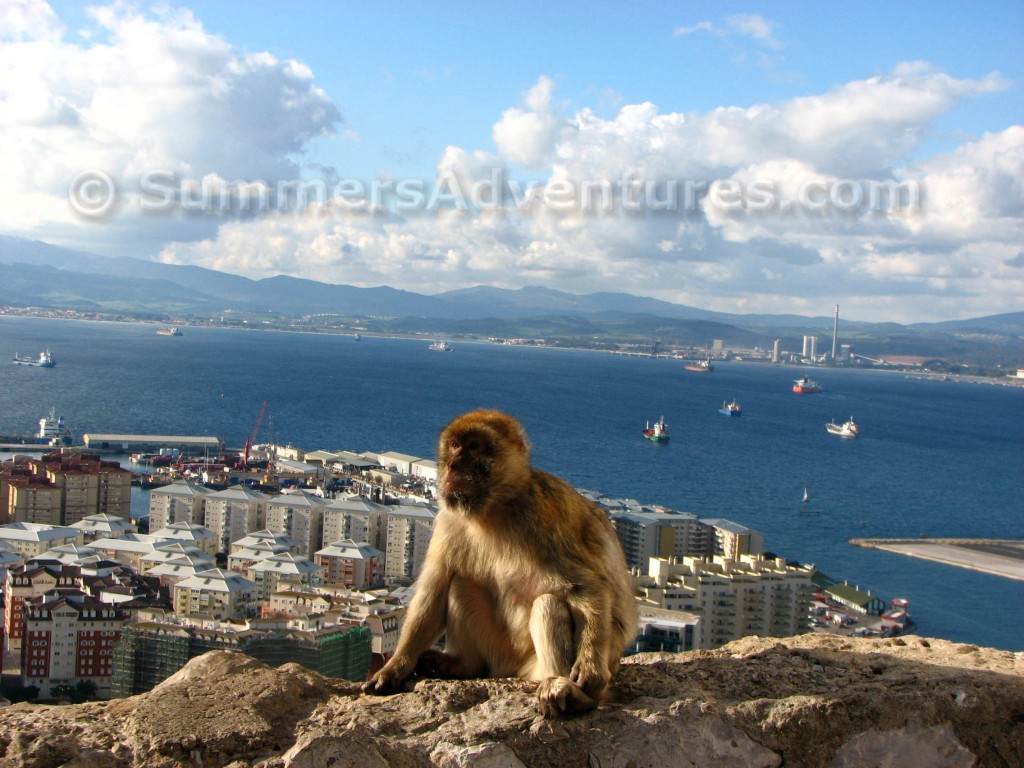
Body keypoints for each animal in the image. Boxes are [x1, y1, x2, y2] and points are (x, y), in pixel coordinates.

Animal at [358, 411, 630, 720]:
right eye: (454, 445)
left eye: (474, 446)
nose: (452, 465)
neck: (494, 509)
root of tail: (509, 669)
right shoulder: (449, 520)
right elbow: (435, 592)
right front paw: (395, 668)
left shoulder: (543, 516)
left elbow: (584, 587)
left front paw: (589, 669)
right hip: (496, 651)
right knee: (460, 584)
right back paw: (463, 665)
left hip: (531, 666)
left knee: (549, 604)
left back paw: (571, 694)